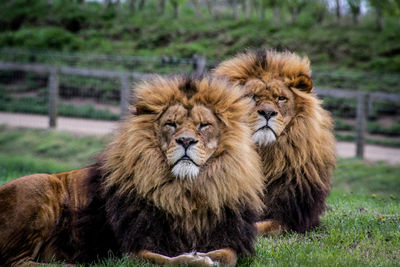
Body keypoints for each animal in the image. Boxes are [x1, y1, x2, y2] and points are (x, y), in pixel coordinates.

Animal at [0, 74, 266, 266]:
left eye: (204, 125)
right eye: (171, 124)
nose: (186, 141)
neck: (186, 193)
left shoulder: (229, 237)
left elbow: (228, 255)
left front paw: (207, 256)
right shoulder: (131, 250)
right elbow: (167, 261)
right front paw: (195, 260)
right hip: (38, 186)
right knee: (15, 261)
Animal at [214, 49, 336, 236]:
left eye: (281, 98)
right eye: (252, 96)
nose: (267, 113)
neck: (266, 155)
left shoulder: (293, 218)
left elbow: (261, 226)